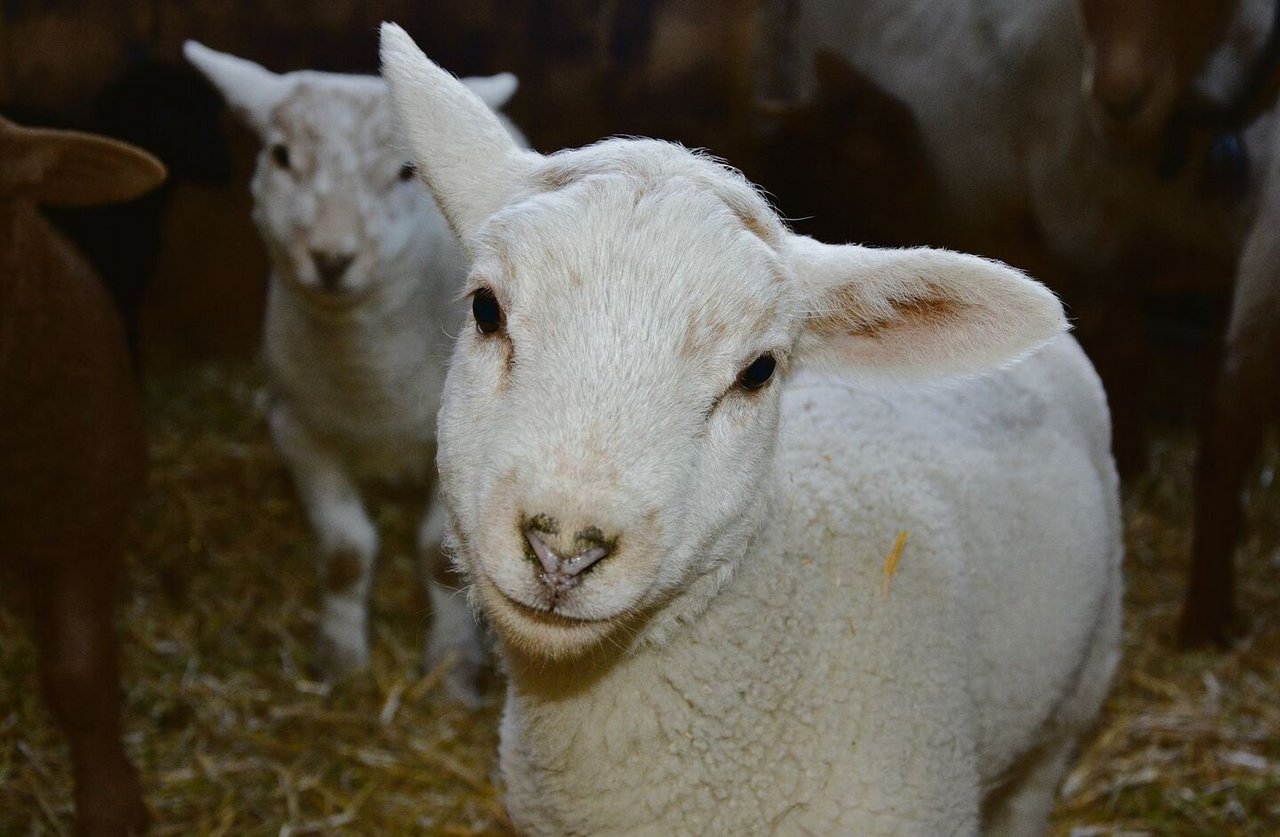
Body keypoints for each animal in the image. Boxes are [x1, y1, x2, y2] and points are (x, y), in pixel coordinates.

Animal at [181, 42, 524, 706]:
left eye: (405, 172)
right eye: (282, 155)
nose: (332, 258)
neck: (369, 381)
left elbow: (438, 559)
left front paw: (452, 668)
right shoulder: (298, 430)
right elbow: (344, 552)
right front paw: (338, 659)